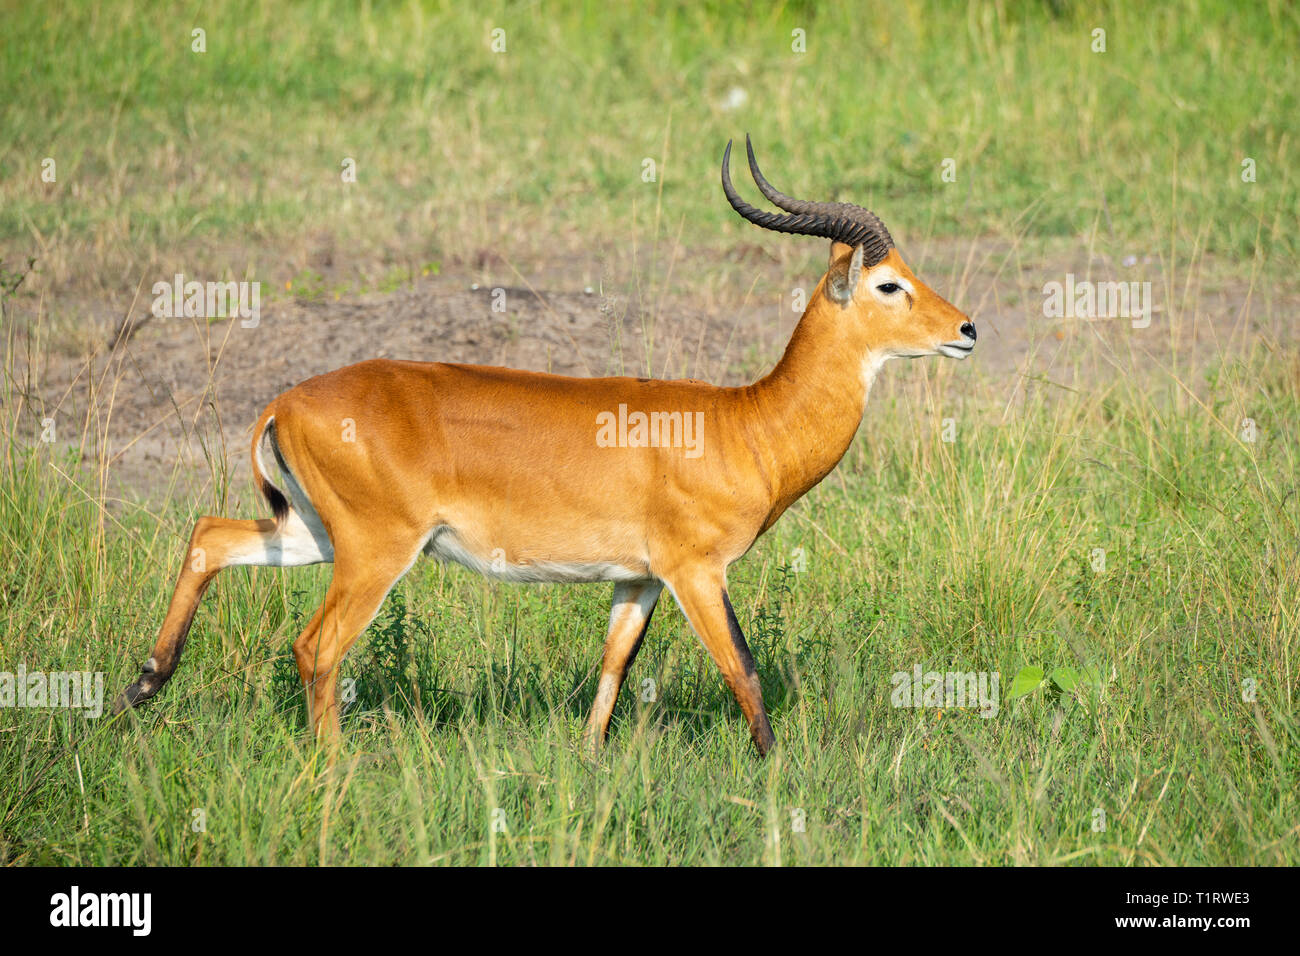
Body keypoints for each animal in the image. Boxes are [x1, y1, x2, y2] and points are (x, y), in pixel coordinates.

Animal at [114, 138, 977, 759]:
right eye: (889, 284)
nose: (968, 329)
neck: (745, 422)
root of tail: (284, 401)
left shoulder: (639, 578)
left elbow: (612, 670)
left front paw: (590, 762)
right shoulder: (696, 570)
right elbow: (744, 668)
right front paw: (776, 772)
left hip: (312, 532)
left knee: (209, 536)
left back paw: (143, 686)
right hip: (375, 549)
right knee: (316, 645)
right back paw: (330, 764)